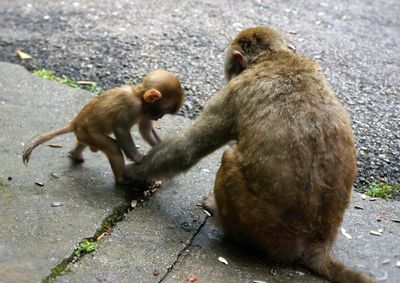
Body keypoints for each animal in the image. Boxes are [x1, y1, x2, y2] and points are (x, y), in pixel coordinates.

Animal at [21, 69, 183, 184]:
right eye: (160, 112)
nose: (158, 118)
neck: (138, 95)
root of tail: (76, 121)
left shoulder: (144, 112)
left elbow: (145, 129)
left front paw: (162, 146)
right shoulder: (132, 106)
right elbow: (121, 129)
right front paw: (137, 158)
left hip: (84, 134)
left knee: (83, 143)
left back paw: (75, 154)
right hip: (90, 133)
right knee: (113, 147)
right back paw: (122, 180)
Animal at [127, 27, 376, 283]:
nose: (228, 74)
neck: (274, 59)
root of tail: (314, 244)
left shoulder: (232, 93)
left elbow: (187, 149)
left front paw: (133, 173)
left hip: (262, 228)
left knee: (228, 158)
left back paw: (221, 219)